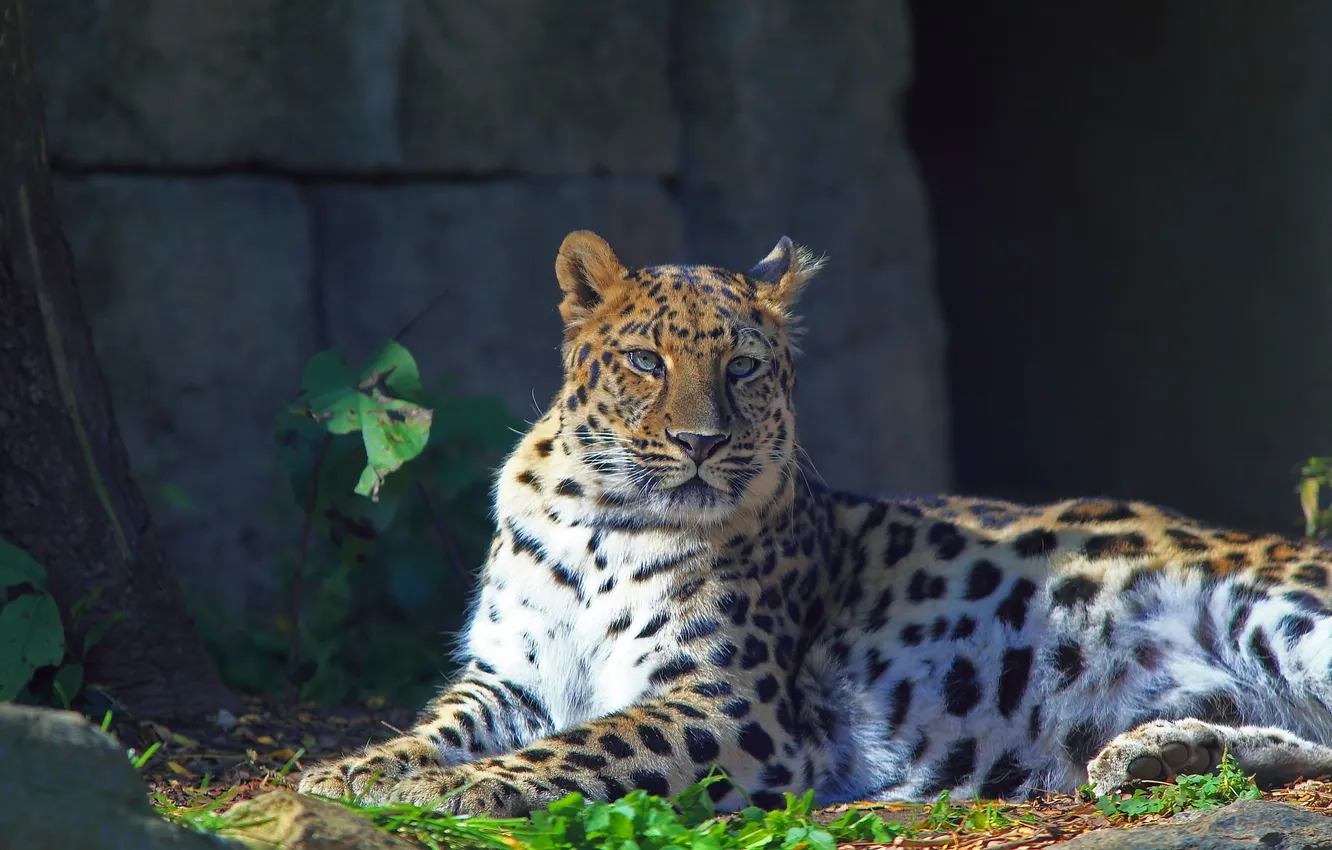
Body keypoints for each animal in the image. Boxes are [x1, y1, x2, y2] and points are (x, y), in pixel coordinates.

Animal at [297, 229, 1332, 818]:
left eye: (745, 367)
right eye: (644, 360)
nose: (702, 442)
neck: (605, 520)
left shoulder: (728, 702)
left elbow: (587, 742)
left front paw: (455, 788)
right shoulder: (507, 677)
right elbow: (436, 723)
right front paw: (355, 771)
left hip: (1278, 613)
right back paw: (1164, 749)